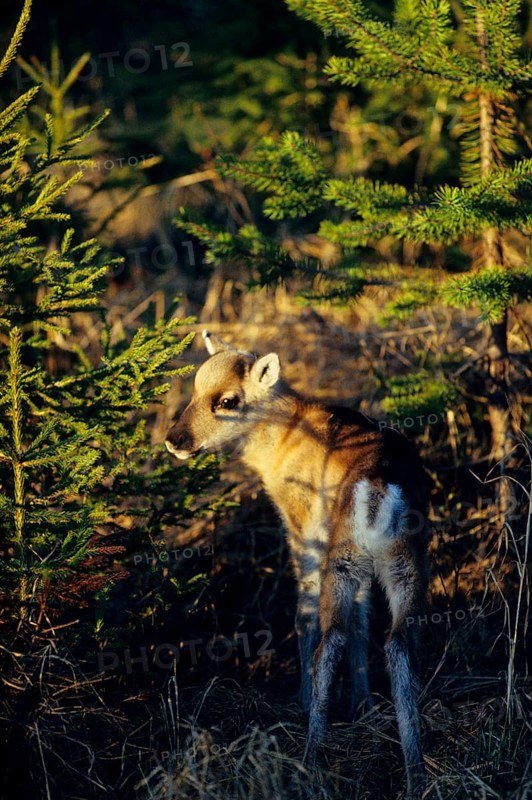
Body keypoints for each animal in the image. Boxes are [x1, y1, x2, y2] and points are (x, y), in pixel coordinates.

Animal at [165, 330, 430, 799]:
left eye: (228, 400)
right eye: (194, 388)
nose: (174, 439)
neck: (282, 441)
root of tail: (379, 488)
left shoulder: (302, 526)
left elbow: (303, 612)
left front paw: (308, 701)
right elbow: (363, 618)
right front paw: (362, 704)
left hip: (341, 556)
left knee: (330, 636)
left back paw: (311, 754)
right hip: (399, 562)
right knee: (397, 640)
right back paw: (415, 771)